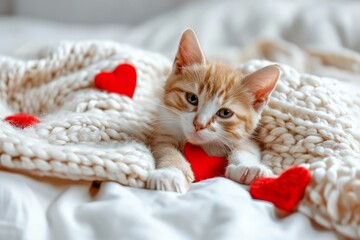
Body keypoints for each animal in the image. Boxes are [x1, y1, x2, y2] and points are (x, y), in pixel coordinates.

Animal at [147, 29, 282, 193]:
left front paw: (248, 167)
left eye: (225, 113)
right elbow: (166, 149)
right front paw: (170, 173)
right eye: (192, 98)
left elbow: (246, 147)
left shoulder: (248, 136)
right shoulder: (163, 131)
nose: (199, 124)